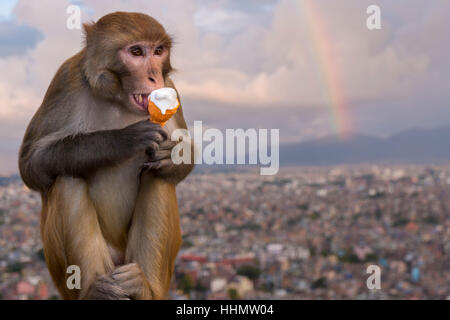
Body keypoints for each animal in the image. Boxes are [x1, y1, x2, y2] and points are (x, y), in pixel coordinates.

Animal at [18, 10, 193, 300]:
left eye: (158, 51)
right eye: (136, 52)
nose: (154, 76)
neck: (117, 97)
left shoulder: (171, 86)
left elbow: (182, 154)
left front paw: (172, 154)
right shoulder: (66, 79)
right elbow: (31, 165)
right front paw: (124, 140)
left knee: (158, 176)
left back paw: (143, 287)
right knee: (66, 179)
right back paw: (93, 290)